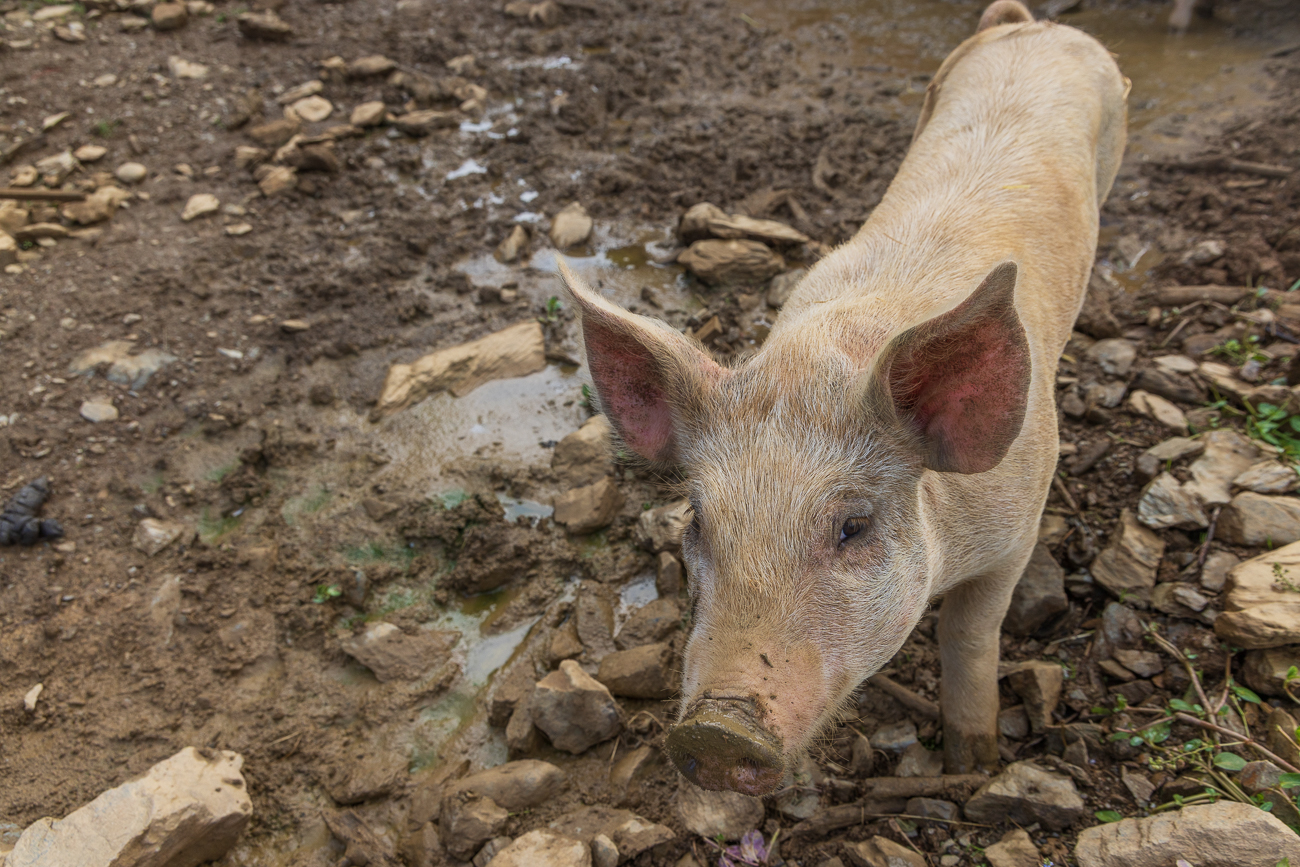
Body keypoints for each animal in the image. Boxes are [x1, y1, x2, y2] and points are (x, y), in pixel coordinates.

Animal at [559, 0, 1128, 795]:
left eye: (853, 528)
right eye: (698, 523)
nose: (717, 729)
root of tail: (1039, 25)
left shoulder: (1018, 527)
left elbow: (970, 636)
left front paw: (974, 765)